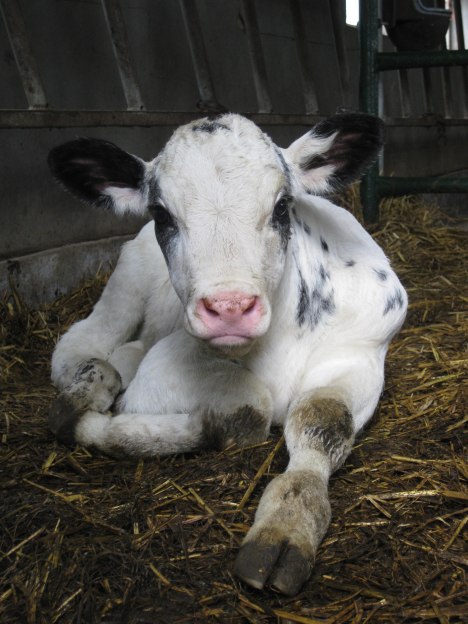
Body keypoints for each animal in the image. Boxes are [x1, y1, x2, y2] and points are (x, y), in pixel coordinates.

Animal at [46, 112, 406, 596]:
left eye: (282, 205)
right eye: (161, 213)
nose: (230, 307)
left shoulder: (361, 355)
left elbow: (323, 421)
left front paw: (288, 523)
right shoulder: (163, 370)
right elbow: (251, 406)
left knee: (130, 348)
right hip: (123, 284)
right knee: (83, 340)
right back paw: (86, 387)